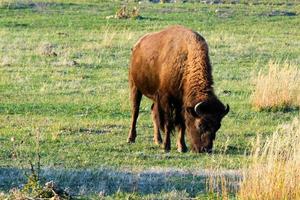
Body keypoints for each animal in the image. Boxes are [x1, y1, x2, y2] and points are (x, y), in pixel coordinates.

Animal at [127, 25, 230, 153]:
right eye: (200, 124)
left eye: (218, 126)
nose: (206, 149)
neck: (185, 61)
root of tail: (137, 46)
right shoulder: (166, 98)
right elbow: (168, 123)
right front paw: (166, 147)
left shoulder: (180, 103)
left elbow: (181, 124)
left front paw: (182, 147)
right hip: (135, 87)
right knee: (135, 112)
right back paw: (131, 138)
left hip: (155, 97)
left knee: (153, 111)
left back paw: (158, 140)